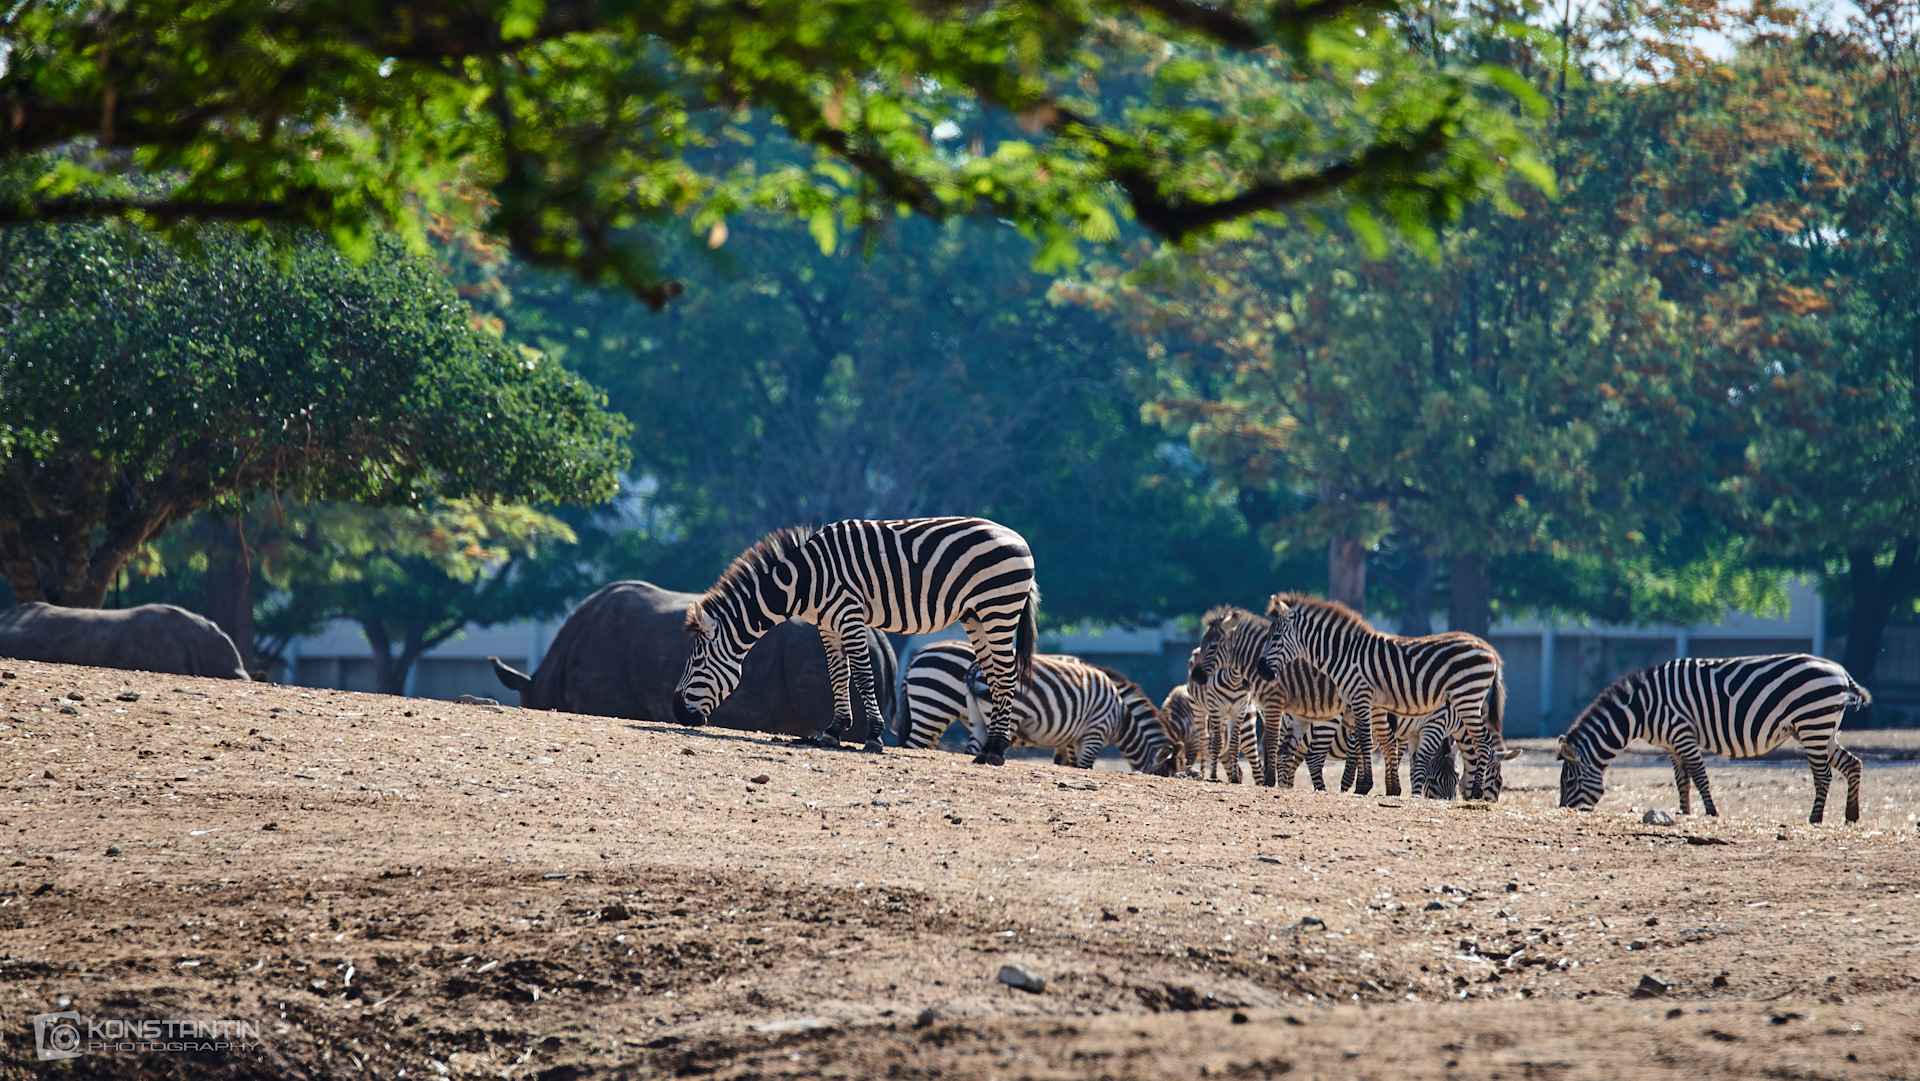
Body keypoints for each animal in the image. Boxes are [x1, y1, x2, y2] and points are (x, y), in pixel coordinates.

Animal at [672, 518, 1036, 760]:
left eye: (697, 662)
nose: (676, 712)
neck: (803, 582)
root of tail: (1020, 538)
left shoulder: (849, 615)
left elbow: (861, 675)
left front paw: (873, 737)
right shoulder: (828, 624)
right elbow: (838, 674)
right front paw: (833, 732)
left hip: (999, 610)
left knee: (1006, 677)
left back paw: (996, 752)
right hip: (977, 616)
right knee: (994, 677)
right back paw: (988, 750)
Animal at [1267, 595, 1505, 798]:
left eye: (1455, 779)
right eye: (1497, 780)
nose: (1262, 669)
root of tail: (1489, 650)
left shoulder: (1403, 724)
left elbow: (1405, 756)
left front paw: (1400, 790)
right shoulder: (1430, 723)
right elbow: (1410, 757)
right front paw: (1391, 790)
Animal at [1559, 656, 1873, 825]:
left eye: (1570, 782)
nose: (1563, 811)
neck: (1641, 709)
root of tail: (1841, 672)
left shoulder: (1682, 733)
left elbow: (1699, 777)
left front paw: (1710, 813)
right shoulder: (1672, 744)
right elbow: (1682, 780)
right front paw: (1683, 812)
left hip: (1813, 724)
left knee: (1823, 775)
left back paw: (1815, 819)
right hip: (1821, 728)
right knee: (1852, 764)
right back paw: (1851, 815)